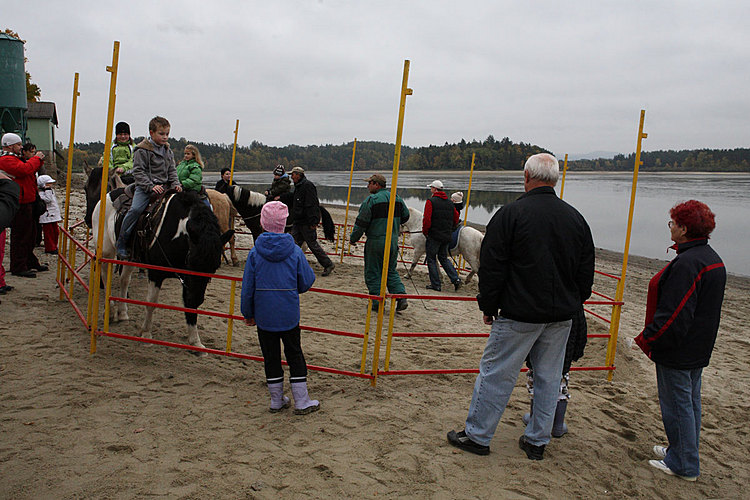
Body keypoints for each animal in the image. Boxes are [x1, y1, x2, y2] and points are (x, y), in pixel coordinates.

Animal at [93, 189, 235, 350]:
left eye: (214, 266)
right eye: (191, 261)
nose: (198, 298)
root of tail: (109, 194)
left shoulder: (187, 279)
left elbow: (190, 304)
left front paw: (196, 342)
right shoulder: (156, 273)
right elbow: (151, 302)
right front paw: (146, 334)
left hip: (131, 257)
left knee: (124, 280)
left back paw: (122, 313)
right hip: (106, 251)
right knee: (105, 277)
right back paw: (110, 312)